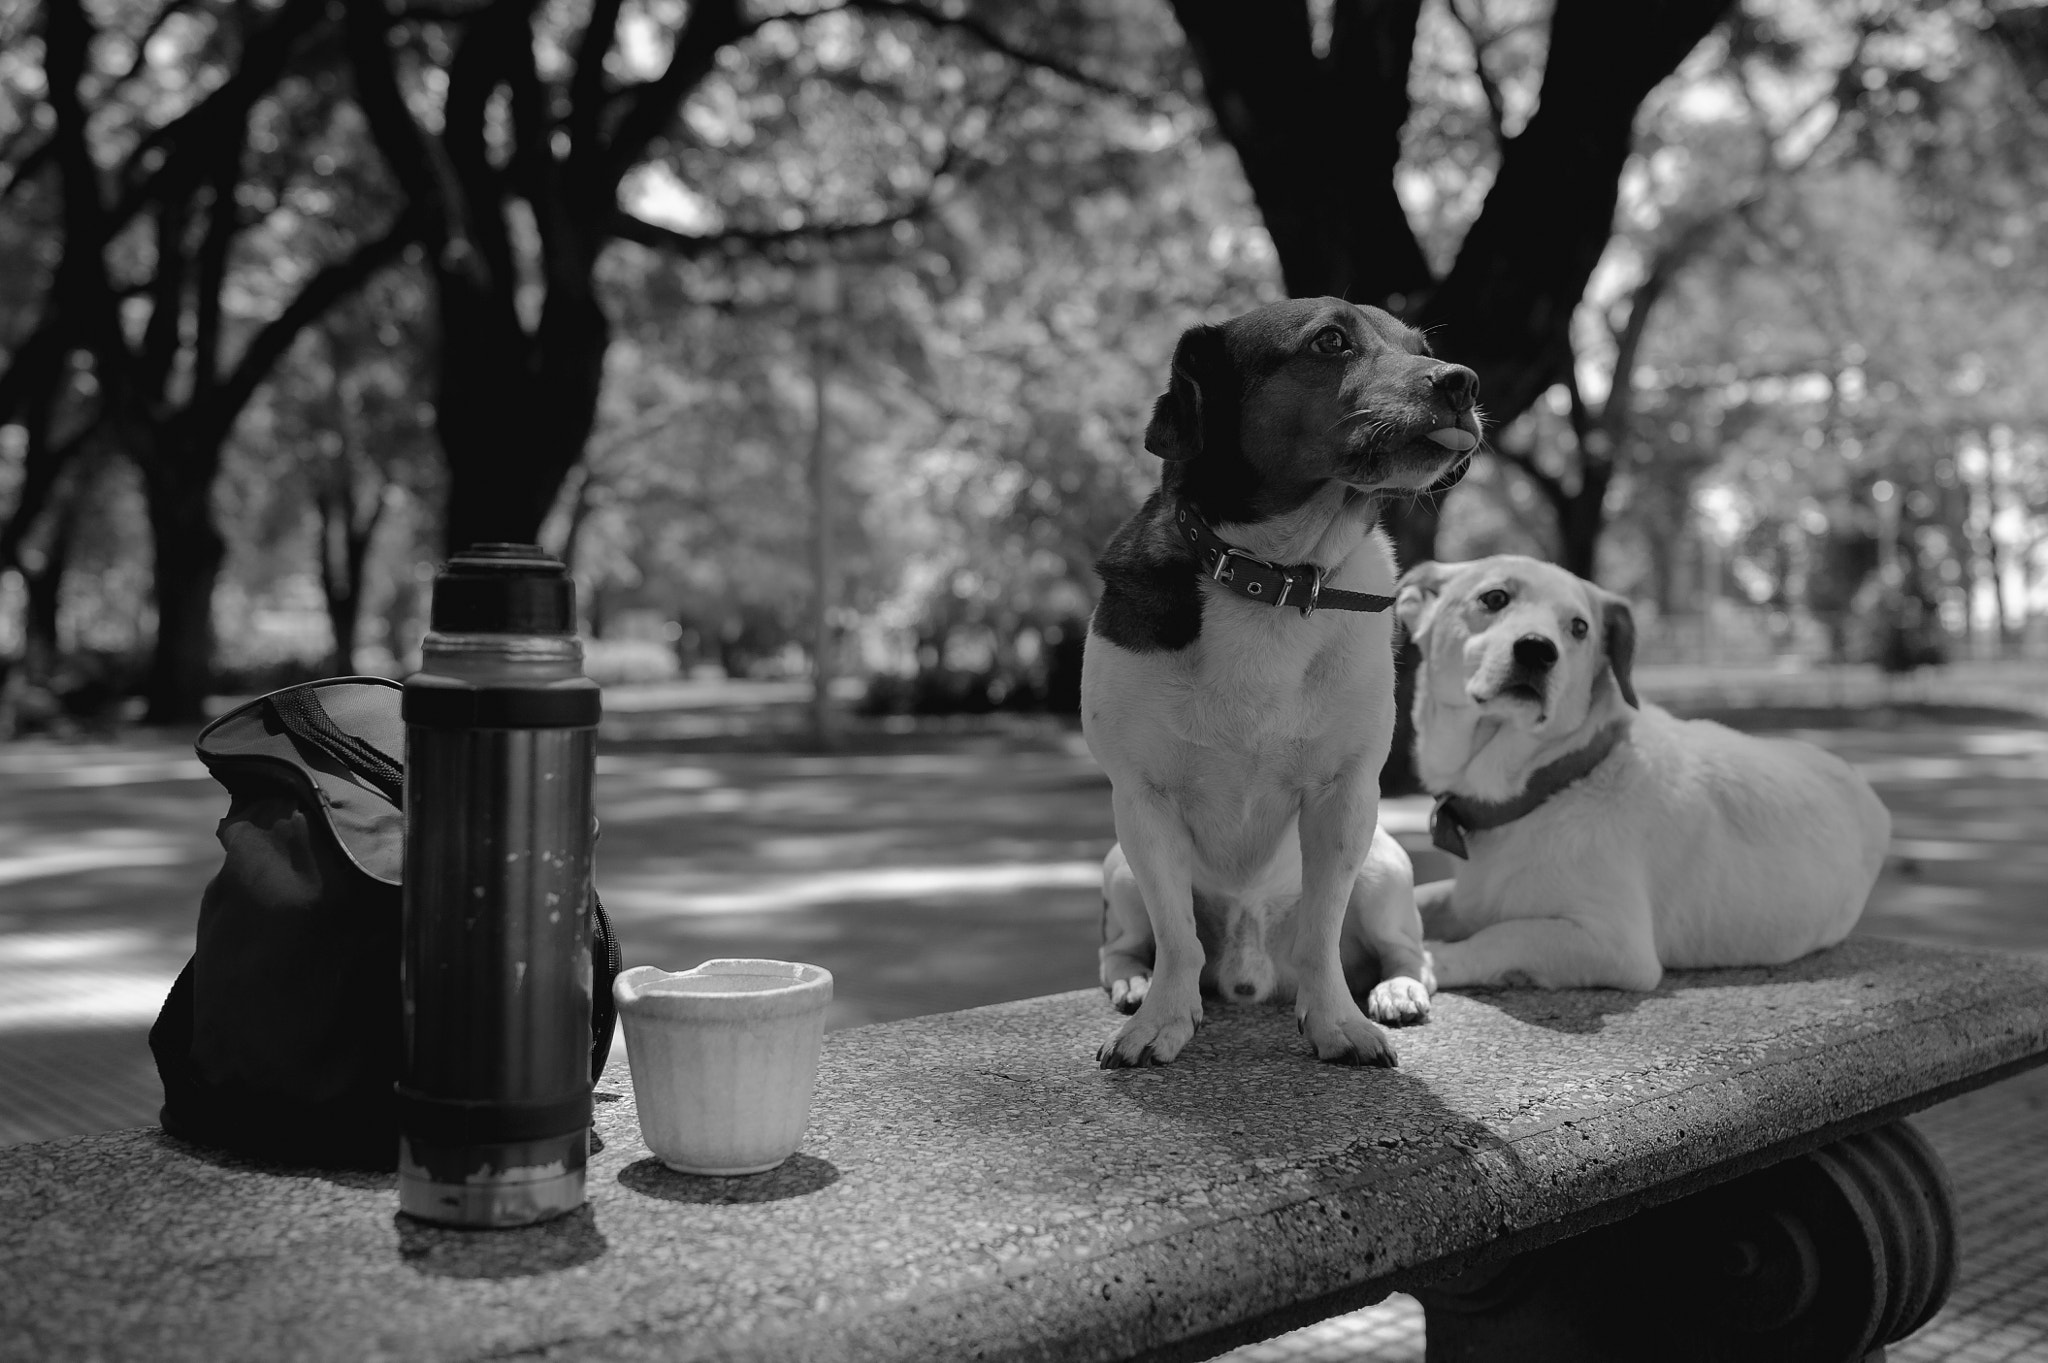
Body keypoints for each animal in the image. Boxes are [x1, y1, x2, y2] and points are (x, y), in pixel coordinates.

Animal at [1081, 294, 1482, 1064]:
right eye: (1330, 341)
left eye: (1421, 346)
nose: (1463, 380)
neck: (1273, 576)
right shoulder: (1140, 800)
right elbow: (1176, 934)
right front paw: (1161, 1019)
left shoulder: (1345, 798)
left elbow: (1323, 933)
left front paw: (1337, 1022)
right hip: (1117, 864)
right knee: (1127, 944)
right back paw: (1134, 983)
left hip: (1386, 864)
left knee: (1407, 950)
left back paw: (1395, 990)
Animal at [1392, 552, 1884, 986]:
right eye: (1494, 598)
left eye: (1579, 627)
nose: (1538, 650)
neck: (1548, 783)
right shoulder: (1465, 899)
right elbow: (1420, 899)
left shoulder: (1613, 943)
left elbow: (1502, 935)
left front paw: (1432, 961)